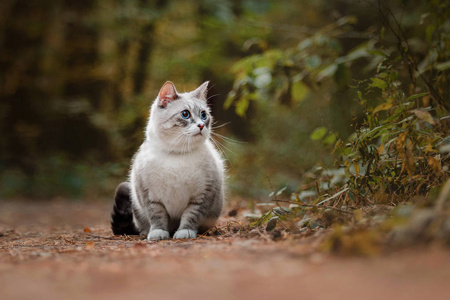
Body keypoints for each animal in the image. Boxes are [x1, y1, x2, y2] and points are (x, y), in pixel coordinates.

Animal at [110, 81, 225, 240]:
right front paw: (158, 233)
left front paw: (185, 232)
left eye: (204, 115)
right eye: (185, 114)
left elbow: (191, 216)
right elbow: (157, 217)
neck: (177, 155)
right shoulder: (150, 197)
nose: (201, 125)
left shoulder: (201, 196)